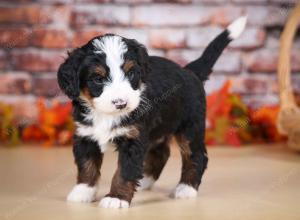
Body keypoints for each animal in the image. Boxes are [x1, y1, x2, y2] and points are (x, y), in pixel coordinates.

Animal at [57, 16, 247, 209]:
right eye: (97, 79)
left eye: (131, 73)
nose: (121, 103)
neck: (105, 115)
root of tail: (189, 71)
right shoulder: (86, 135)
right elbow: (87, 165)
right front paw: (83, 191)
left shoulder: (133, 138)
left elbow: (124, 171)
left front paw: (116, 197)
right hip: (160, 128)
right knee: (161, 153)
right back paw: (145, 180)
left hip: (190, 127)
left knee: (196, 155)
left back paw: (186, 188)